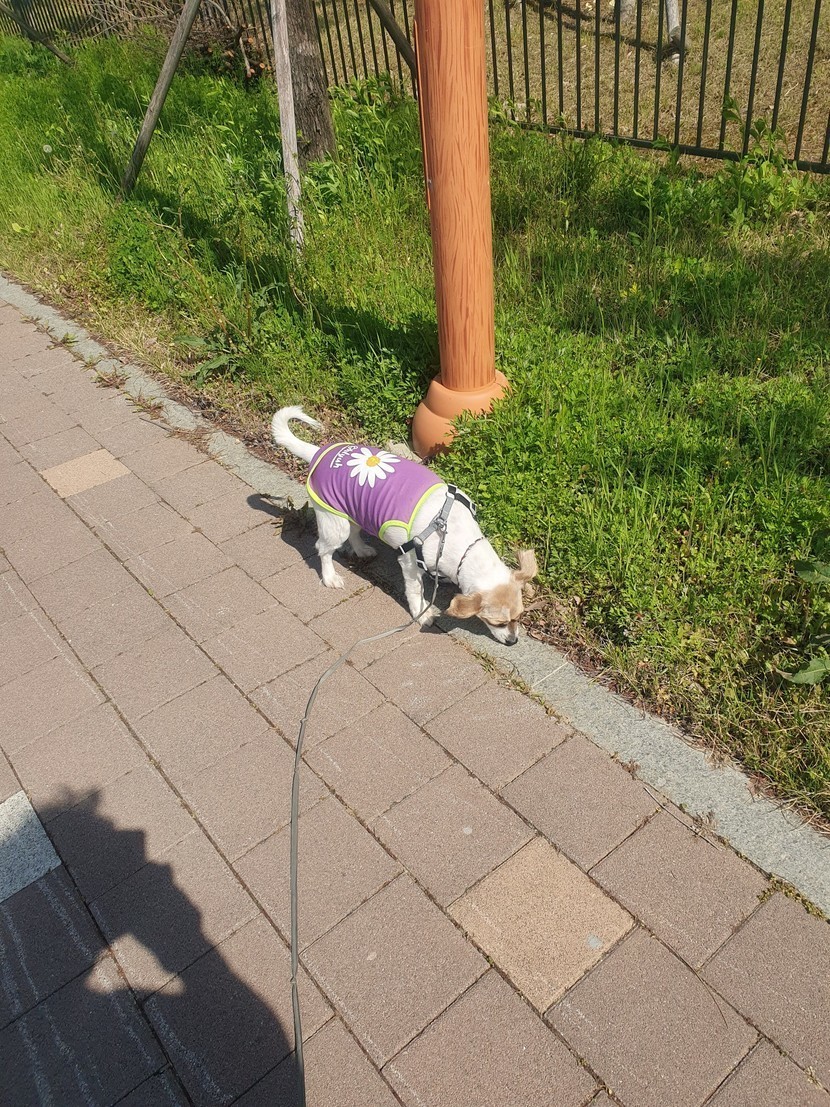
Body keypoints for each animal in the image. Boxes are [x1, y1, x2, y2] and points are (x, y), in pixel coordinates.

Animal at [271, 406, 536, 645]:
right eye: (497, 623)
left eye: (519, 617)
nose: (513, 641)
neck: (453, 534)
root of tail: (319, 453)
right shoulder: (409, 563)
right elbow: (415, 591)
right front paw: (422, 613)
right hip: (335, 523)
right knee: (323, 549)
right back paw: (330, 577)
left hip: (354, 509)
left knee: (354, 533)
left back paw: (361, 549)